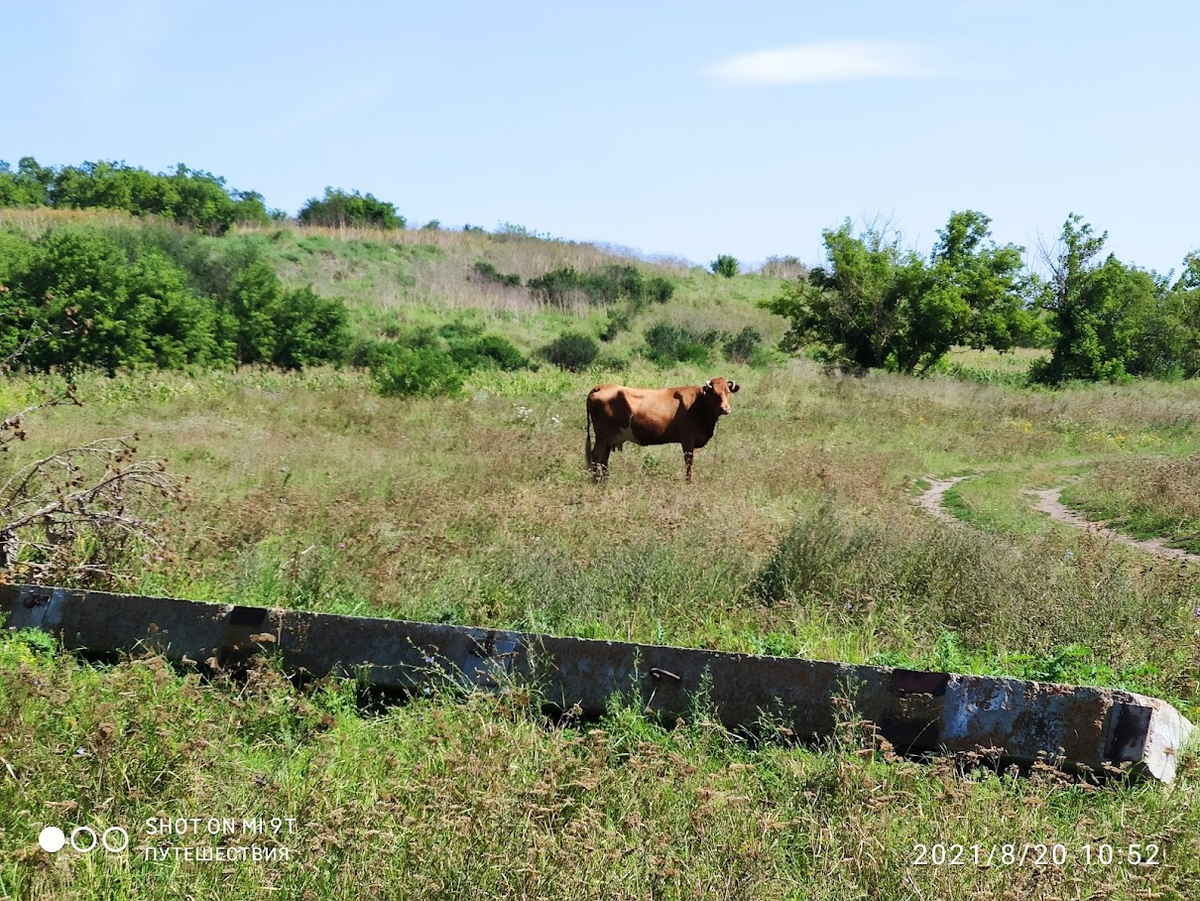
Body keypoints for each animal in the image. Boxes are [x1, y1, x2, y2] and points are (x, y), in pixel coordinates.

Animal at [583, 376, 739, 482]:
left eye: (727, 392)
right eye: (714, 393)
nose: (725, 409)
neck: (699, 403)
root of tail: (601, 386)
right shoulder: (688, 439)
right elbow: (689, 462)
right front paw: (689, 482)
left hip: (609, 438)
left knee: (604, 458)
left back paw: (605, 481)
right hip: (603, 435)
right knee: (596, 456)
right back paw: (596, 481)